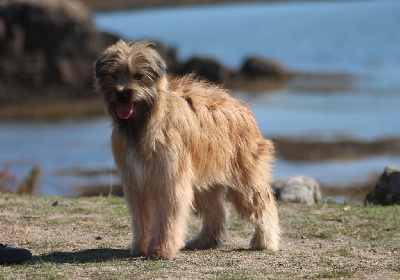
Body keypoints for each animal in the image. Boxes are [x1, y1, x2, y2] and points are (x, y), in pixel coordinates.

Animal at [95, 40, 280, 260]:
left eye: (138, 75)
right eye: (114, 74)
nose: (122, 94)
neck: (146, 123)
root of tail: (242, 107)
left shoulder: (170, 181)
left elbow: (167, 219)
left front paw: (161, 250)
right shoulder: (136, 183)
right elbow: (141, 219)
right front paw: (140, 247)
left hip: (245, 179)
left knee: (263, 205)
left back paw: (265, 241)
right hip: (203, 183)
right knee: (216, 212)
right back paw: (204, 241)